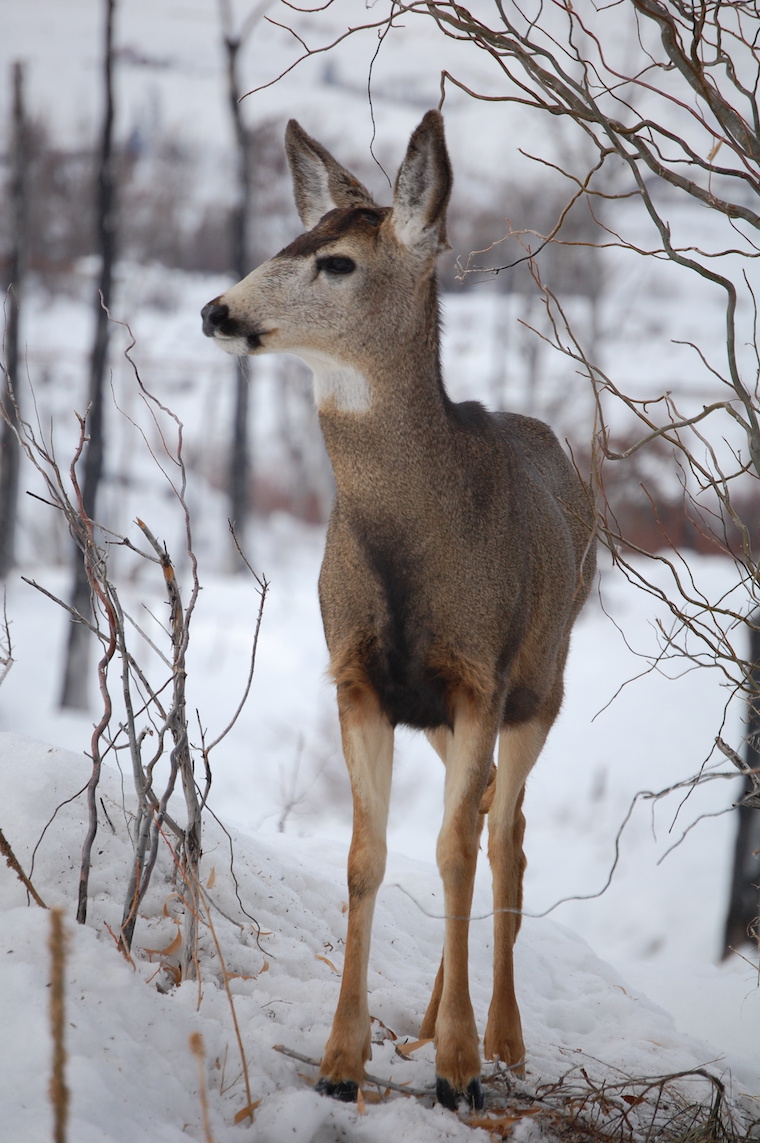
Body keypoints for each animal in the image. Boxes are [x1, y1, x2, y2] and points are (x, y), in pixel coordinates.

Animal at [201, 110, 596, 1111]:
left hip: (541, 687)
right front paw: (343, 1063)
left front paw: (460, 1069)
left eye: (337, 262)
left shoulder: (478, 675)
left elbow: (454, 852)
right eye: (287, 239)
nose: (217, 311)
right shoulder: (359, 676)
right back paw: (423, 1022)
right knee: (488, 813)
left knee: (504, 837)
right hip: (454, 719)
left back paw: (501, 1038)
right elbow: (367, 854)